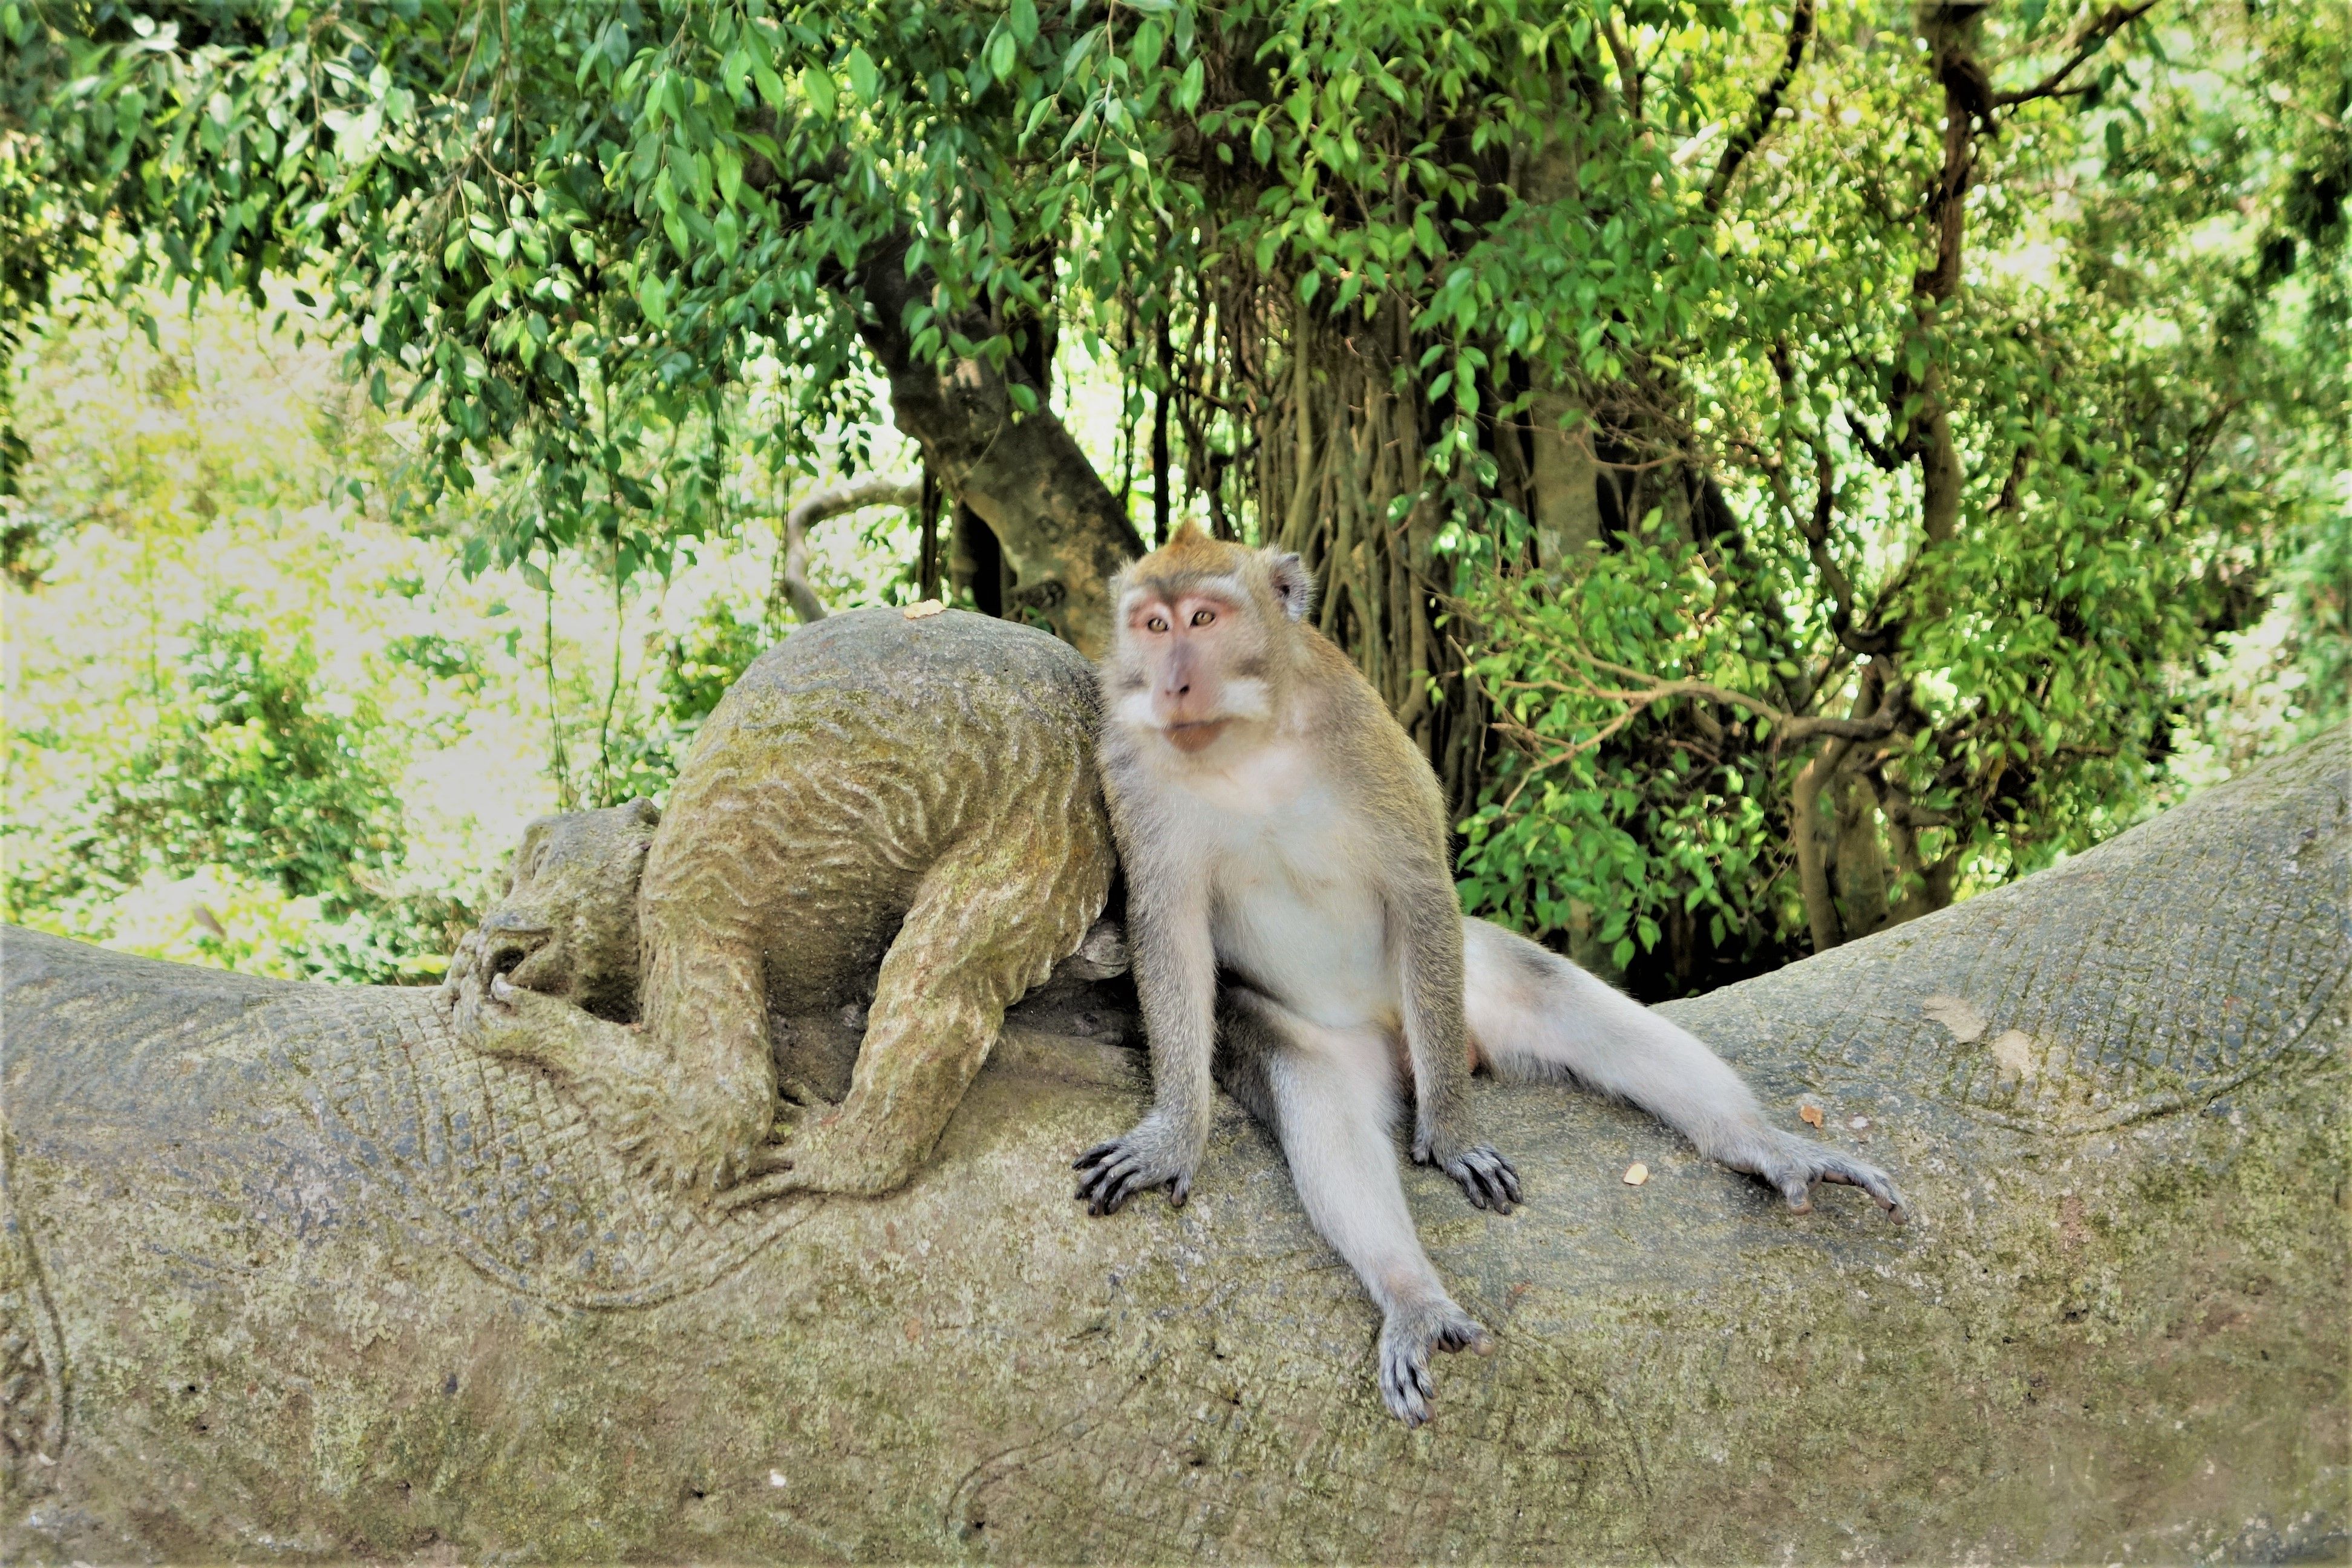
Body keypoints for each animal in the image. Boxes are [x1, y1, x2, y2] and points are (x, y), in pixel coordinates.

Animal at [1074, 522, 1905, 1426]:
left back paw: (1760, 1144)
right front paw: (1171, 1136)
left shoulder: (1360, 727)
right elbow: (1170, 936)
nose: (1174, 683)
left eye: (1203, 617)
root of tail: (1404, 1046)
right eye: (1152, 626)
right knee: (1317, 1094)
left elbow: (1418, 885)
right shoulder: (1129, 768)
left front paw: (1451, 1135)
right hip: (1331, 1040)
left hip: (1463, 992)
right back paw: (1414, 1296)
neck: (1246, 745)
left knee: (1553, 992)